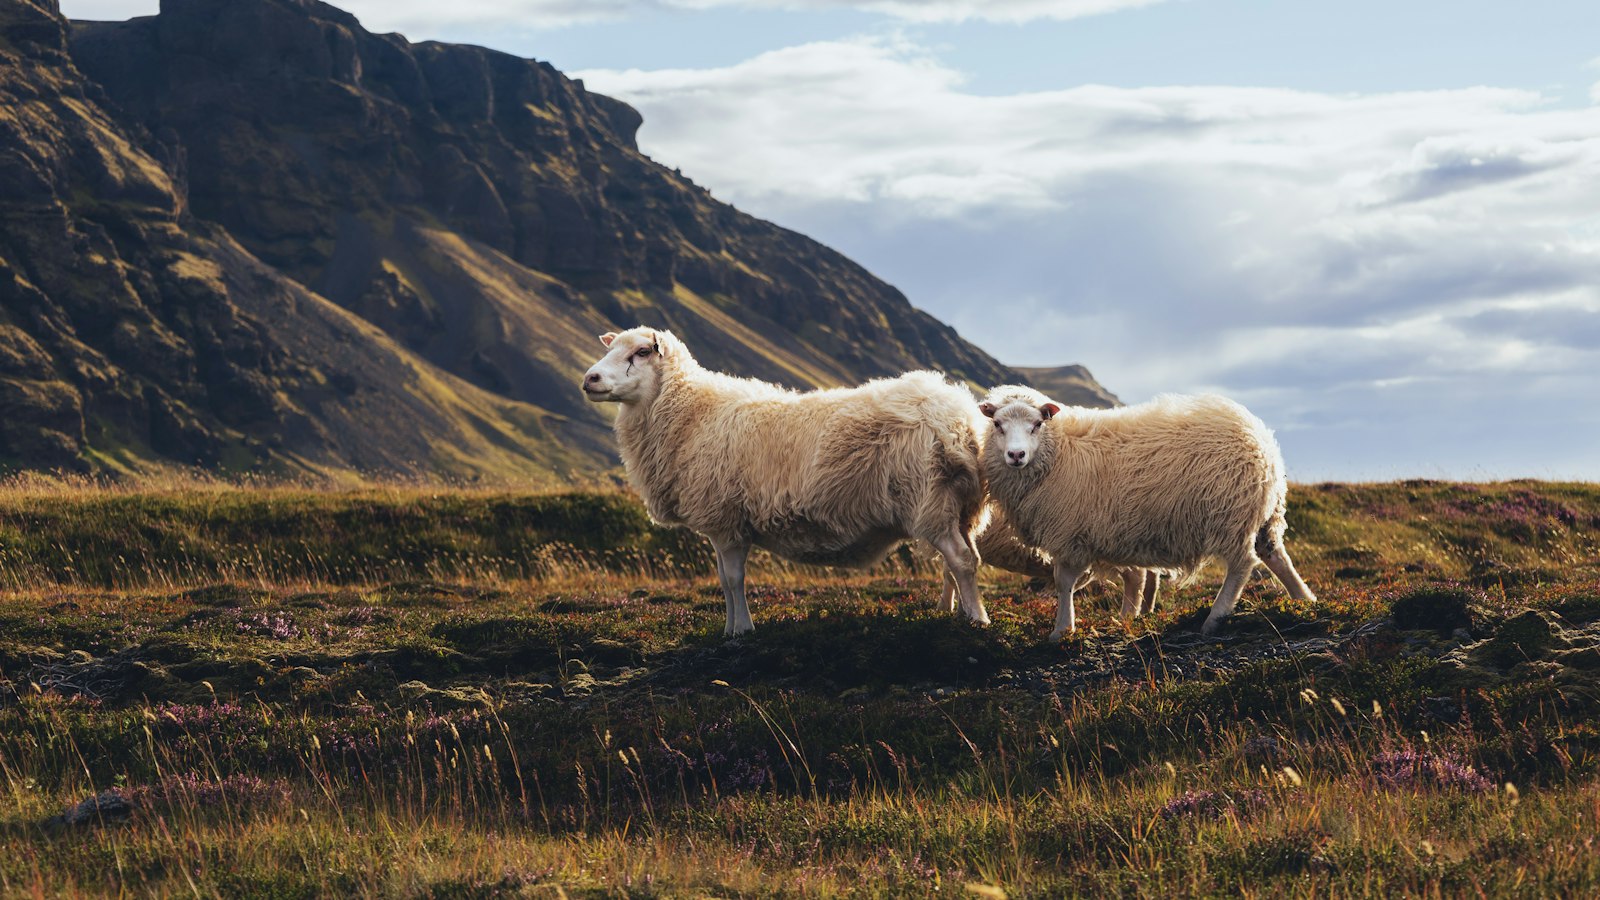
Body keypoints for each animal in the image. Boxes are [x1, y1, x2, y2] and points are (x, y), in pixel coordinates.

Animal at [582, 326, 989, 635]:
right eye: (611, 349)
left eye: (642, 352)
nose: (590, 378)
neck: (691, 412)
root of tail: (957, 416)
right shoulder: (720, 525)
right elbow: (723, 580)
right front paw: (728, 629)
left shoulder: (726, 521)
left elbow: (734, 579)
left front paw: (742, 631)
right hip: (959, 506)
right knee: (960, 560)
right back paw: (952, 611)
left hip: (930, 499)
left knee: (960, 559)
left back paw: (976, 620)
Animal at [977, 386, 1315, 640]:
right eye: (998, 425)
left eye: (1037, 424)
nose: (1016, 454)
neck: (1057, 451)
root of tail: (1261, 440)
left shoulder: (1069, 534)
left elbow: (1064, 583)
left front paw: (1062, 629)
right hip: (1264, 514)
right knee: (1275, 555)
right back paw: (1305, 600)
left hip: (1230, 514)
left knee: (1242, 564)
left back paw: (1215, 618)